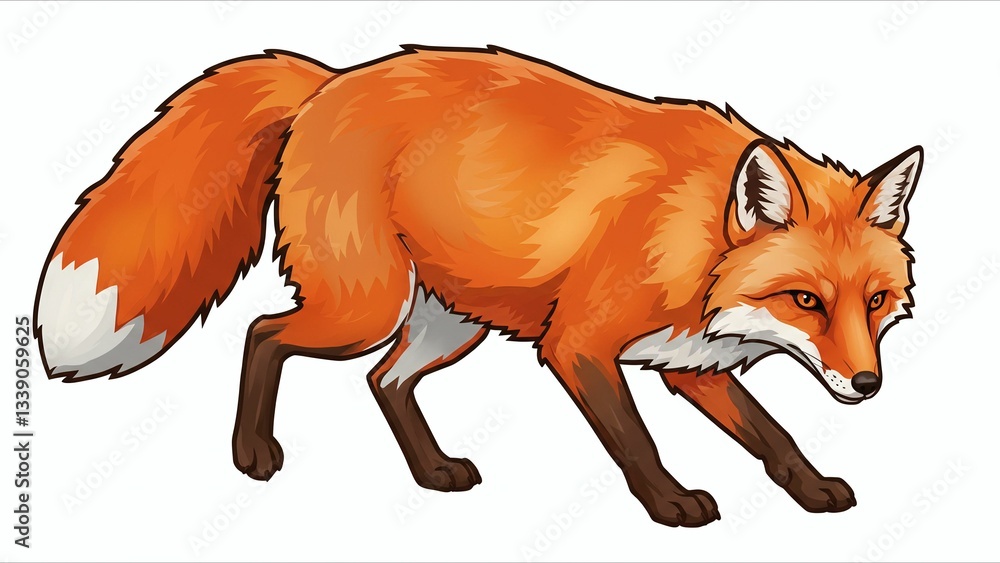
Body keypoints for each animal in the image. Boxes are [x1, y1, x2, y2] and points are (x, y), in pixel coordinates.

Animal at [34, 45, 919, 527]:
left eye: (874, 302)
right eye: (806, 300)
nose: (867, 384)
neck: (691, 235)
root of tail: (330, 78)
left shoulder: (691, 362)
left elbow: (775, 438)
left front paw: (814, 489)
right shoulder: (579, 344)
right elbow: (637, 441)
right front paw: (670, 504)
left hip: (449, 322)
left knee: (384, 379)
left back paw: (432, 473)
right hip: (365, 305)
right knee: (264, 333)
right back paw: (252, 453)